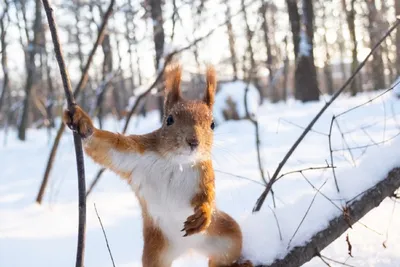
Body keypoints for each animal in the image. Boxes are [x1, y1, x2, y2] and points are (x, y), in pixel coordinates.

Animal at [63, 65, 250, 267]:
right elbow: (106, 147)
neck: (177, 162)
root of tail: (188, 248)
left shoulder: (205, 172)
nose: (193, 142)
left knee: (222, 257)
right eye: (169, 120)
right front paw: (83, 123)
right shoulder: (135, 154)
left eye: (213, 124)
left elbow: (208, 195)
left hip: (227, 236)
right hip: (156, 251)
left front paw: (203, 214)